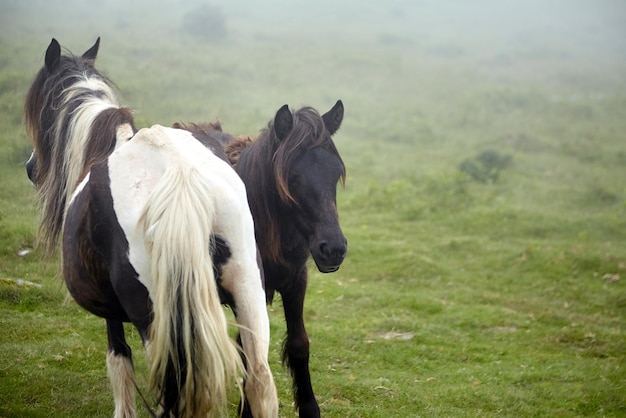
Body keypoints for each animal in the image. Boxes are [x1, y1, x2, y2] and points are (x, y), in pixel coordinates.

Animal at [24, 37, 276, 416]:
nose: (30, 166)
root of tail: (181, 177)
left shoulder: (114, 314)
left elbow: (119, 360)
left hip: (157, 321)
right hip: (248, 290)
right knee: (260, 381)